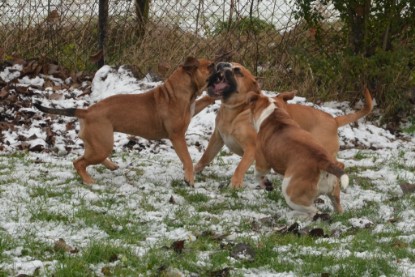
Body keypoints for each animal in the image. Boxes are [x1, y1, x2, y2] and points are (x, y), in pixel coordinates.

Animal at [34, 56, 214, 185]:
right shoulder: (177, 136)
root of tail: (86, 111)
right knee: (78, 162)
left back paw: (110, 165)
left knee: (85, 156)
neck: (180, 91)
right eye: (210, 66)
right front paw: (189, 178)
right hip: (103, 145)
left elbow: (204, 101)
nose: (220, 64)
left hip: (97, 143)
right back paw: (89, 181)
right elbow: (187, 158)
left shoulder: (192, 110)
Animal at [196, 61, 374, 211]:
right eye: (227, 64)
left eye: (237, 70)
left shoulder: (252, 149)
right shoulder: (217, 138)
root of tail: (334, 120)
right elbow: (206, 156)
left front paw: (235, 184)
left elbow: (240, 167)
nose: (221, 64)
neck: (235, 111)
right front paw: (195, 170)